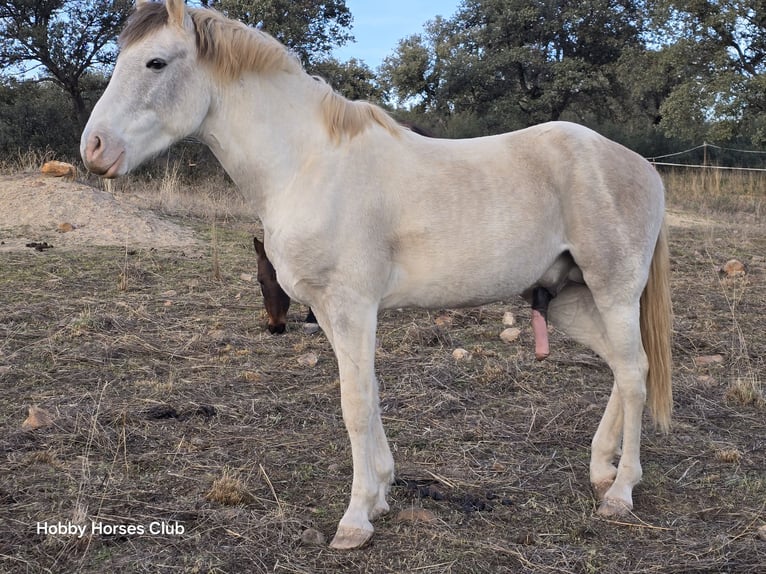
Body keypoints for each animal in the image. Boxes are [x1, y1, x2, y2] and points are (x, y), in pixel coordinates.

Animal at [81, 0, 672, 550]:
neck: (307, 165)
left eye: (156, 62)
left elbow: (356, 405)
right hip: (570, 299)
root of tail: (639, 165)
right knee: (622, 368)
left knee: (635, 373)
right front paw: (382, 490)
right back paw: (601, 470)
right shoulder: (330, 312)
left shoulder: (352, 308)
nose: (94, 148)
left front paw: (356, 518)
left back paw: (621, 492)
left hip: (614, 292)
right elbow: (368, 392)